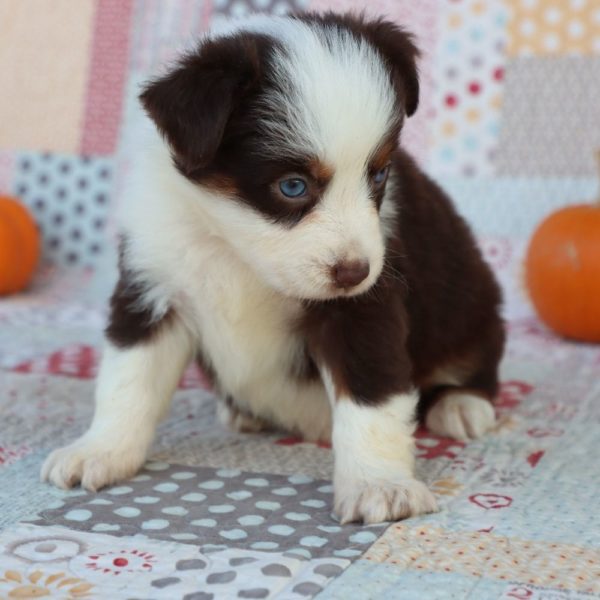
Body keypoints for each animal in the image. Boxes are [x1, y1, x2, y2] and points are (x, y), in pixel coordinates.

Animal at [41, 11, 506, 524]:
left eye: (380, 174)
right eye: (293, 186)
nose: (354, 272)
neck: (237, 251)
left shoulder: (364, 306)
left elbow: (373, 396)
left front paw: (379, 485)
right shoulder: (153, 282)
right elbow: (128, 379)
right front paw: (99, 450)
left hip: (470, 297)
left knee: (473, 360)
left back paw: (460, 405)